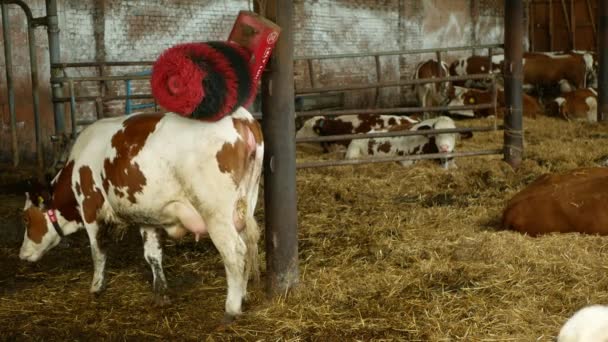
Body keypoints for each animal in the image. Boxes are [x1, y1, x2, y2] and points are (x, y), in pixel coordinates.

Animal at [20, 108, 262, 322]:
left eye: (26, 218)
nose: (22, 254)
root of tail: (240, 117)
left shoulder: (90, 209)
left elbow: (98, 252)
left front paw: (96, 287)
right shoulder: (147, 217)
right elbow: (152, 255)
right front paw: (161, 292)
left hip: (216, 213)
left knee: (234, 252)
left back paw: (231, 308)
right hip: (246, 204)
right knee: (249, 246)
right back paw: (243, 295)